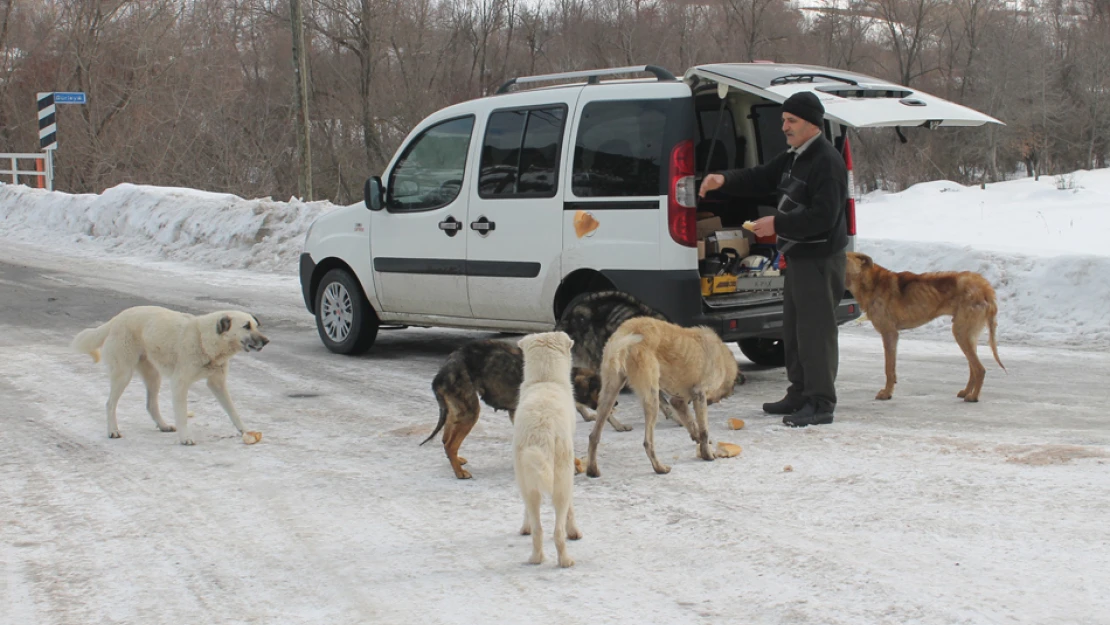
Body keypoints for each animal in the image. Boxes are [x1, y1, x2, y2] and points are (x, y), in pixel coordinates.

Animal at [71, 306, 268, 444]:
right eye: (246, 326)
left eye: (256, 326)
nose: (267, 341)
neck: (203, 339)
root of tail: (116, 318)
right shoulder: (180, 384)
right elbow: (182, 415)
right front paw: (185, 437)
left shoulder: (217, 384)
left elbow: (234, 412)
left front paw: (245, 431)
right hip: (123, 374)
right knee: (110, 404)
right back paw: (113, 430)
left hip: (153, 377)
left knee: (151, 404)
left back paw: (163, 425)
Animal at [421, 337, 612, 479]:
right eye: (600, 390)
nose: (615, 403)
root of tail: (441, 373)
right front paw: (573, 465)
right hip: (469, 411)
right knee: (450, 444)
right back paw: (459, 472)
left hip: (458, 408)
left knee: (445, 439)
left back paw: (456, 461)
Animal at [510, 333, 581, 568]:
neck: (545, 380)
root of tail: (542, 429)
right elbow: (571, 509)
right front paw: (574, 531)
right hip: (562, 479)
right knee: (557, 530)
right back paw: (565, 560)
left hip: (527, 477)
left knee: (538, 528)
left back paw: (535, 558)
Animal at [590, 317, 737, 479]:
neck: (722, 357)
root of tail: (626, 331)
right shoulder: (699, 395)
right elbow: (704, 430)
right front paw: (707, 454)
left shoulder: (678, 401)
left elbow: (692, 423)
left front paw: (698, 440)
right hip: (651, 399)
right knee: (647, 442)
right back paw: (659, 468)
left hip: (609, 393)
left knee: (594, 435)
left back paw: (592, 469)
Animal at [848, 251, 1007, 404]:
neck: (871, 283)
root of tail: (985, 287)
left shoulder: (889, 333)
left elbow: (889, 368)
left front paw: (887, 393)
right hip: (968, 335)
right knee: (973, 368)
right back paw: (967, 391)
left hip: (961, 333)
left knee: (980, 369)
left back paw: (973, 397)